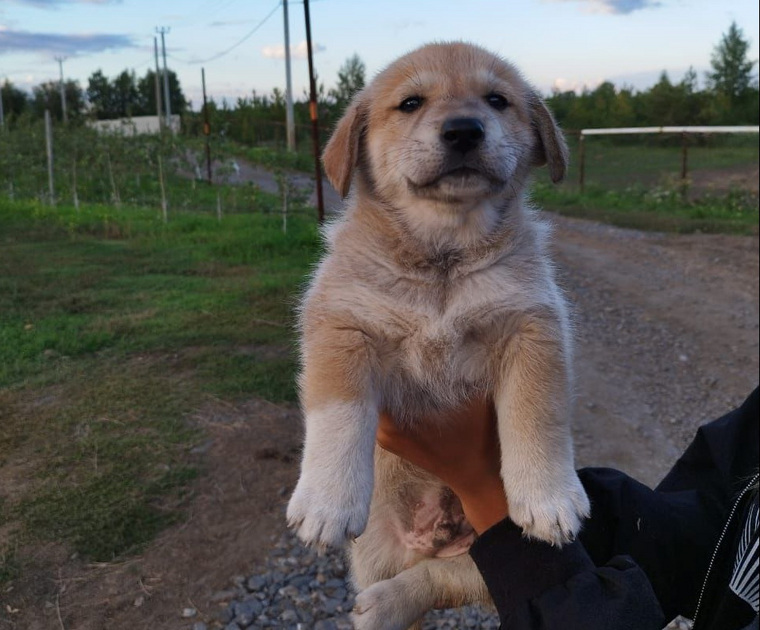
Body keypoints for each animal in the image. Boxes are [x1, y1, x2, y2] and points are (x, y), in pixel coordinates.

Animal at [288, 42, 592, 628]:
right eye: (411, 103)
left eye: (497, 100)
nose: (464, 130)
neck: (442, 261)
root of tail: (434, 532)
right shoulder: (342, 325)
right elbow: (339, 414)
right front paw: (326, 500)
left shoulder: (534, 326)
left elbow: (536, 415)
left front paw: (549, 498)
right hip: (372, 548)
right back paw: (378, 607)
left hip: (484, 551)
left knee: (443, 579)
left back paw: (386, 605)